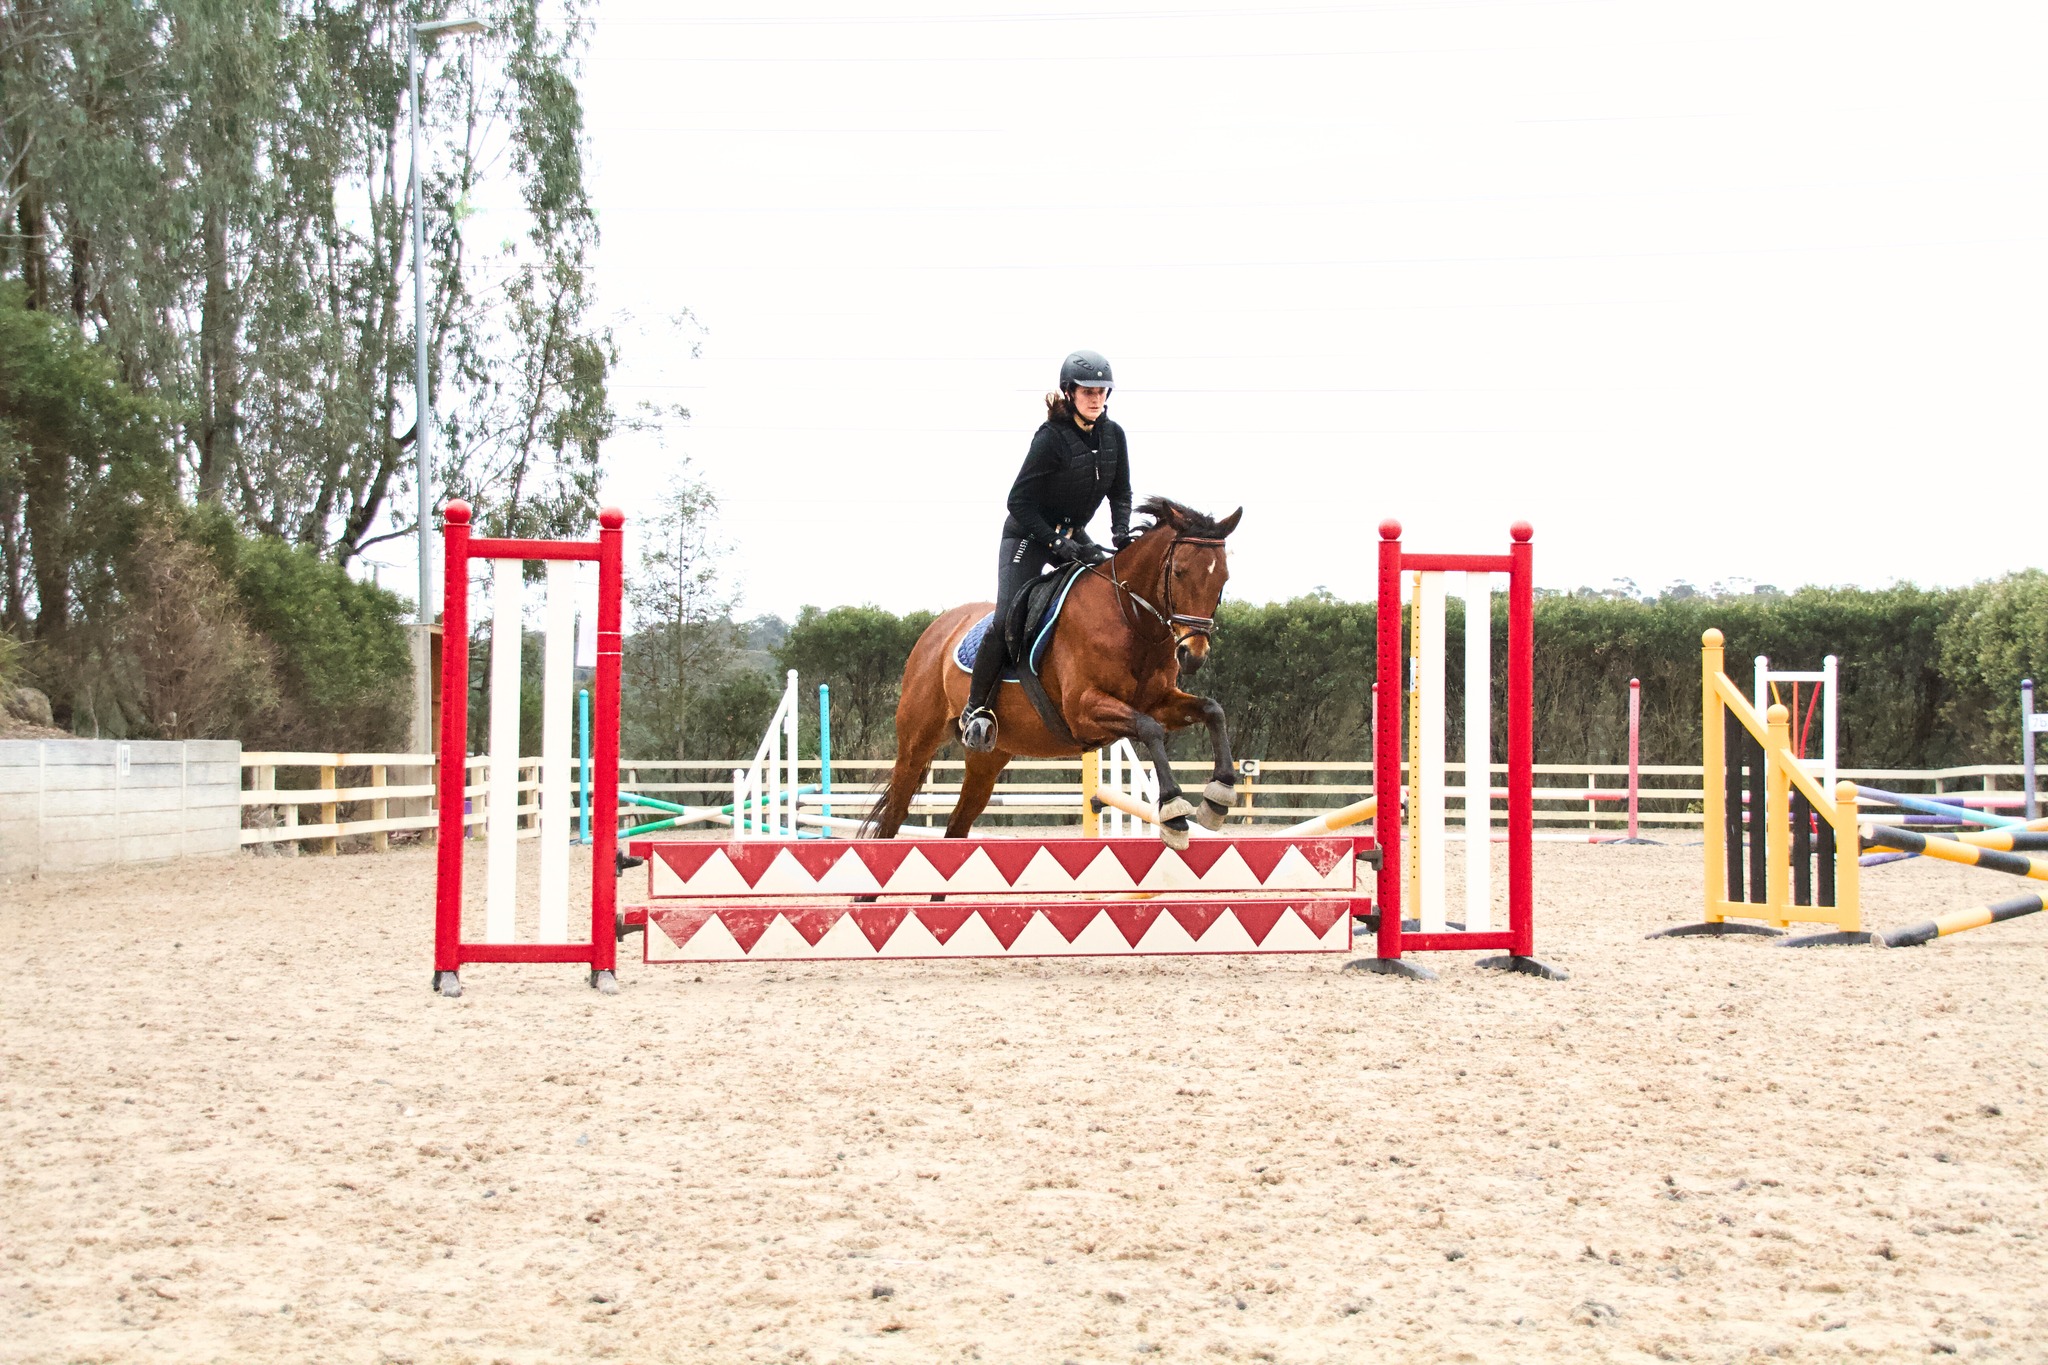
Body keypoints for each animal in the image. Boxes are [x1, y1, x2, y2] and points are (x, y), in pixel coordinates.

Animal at [865, 497, 1242, 848]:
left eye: (1223, 579)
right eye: (1178, 572)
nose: (1192, 655)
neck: (1131, 620)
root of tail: (936, 630)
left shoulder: (1158, 701)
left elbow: (1212, 710)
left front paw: (1218, 795)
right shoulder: (1083, 709)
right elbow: (1150, 729)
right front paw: (1174, 811)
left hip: (989, 755)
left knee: (958, 823)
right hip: (917, 741)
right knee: (894, 814)